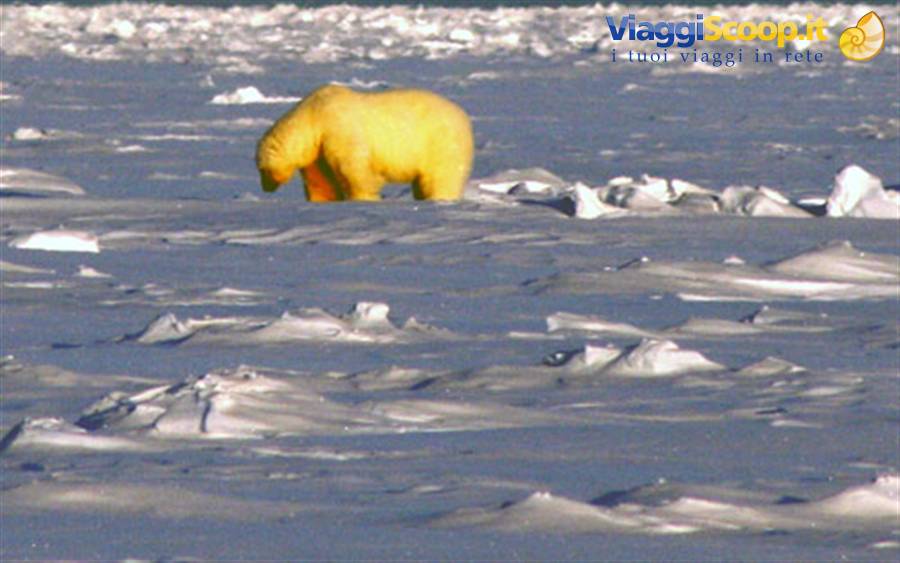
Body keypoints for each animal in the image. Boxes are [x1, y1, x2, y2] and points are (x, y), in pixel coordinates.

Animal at [256, 84, 474, 202]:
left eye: (262, 170)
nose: (265, 188)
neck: (312, 116)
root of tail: (463, 117)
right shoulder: (317, 151)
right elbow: (321, 181)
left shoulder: (338, 127)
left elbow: (354, 168)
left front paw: (364, 198)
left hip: (440, 143)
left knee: (441, 177)